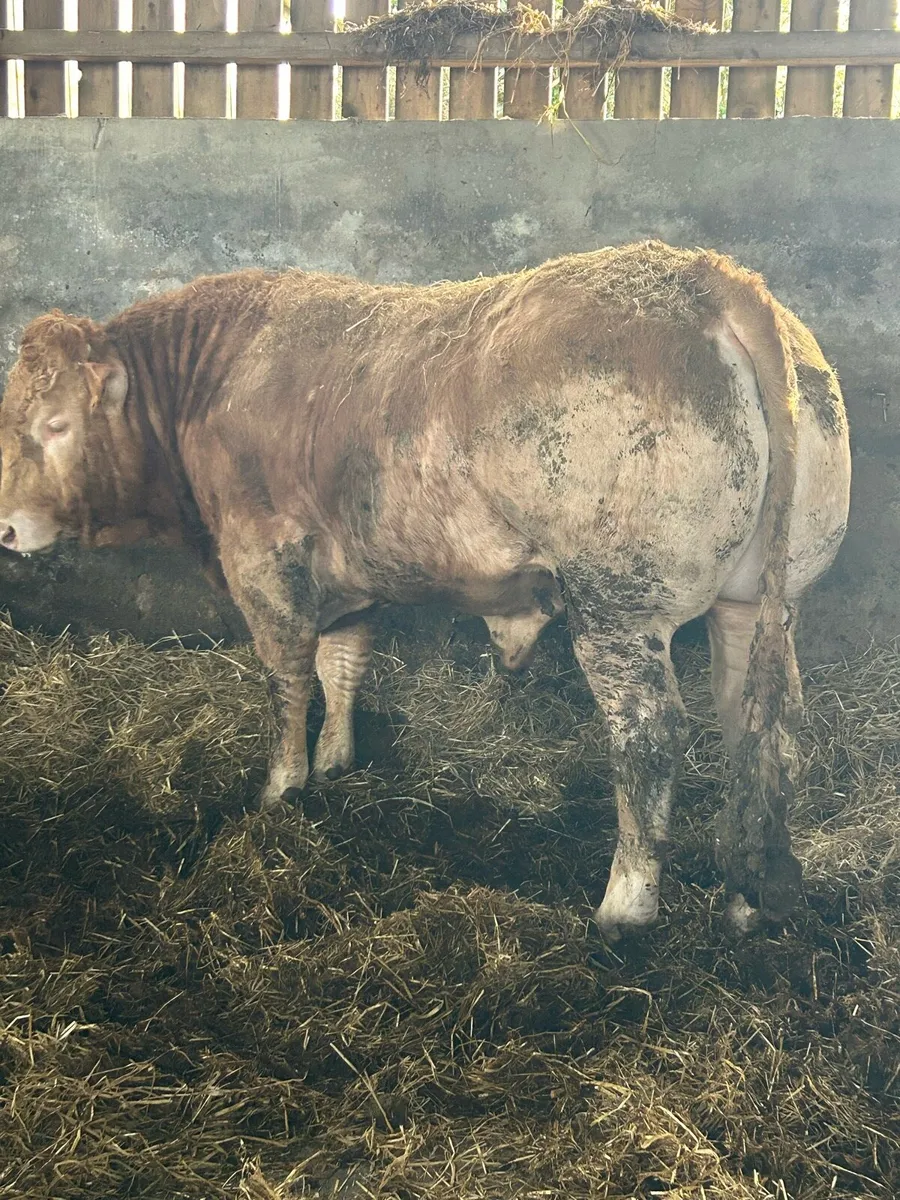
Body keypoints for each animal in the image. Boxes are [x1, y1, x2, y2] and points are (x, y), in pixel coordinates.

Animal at [0, 241, 851, 940]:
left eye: (55, 424)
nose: (6, 528)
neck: (214, 379)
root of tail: (709, 278)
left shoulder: (263, 559)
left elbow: (286, 676)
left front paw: (281, 789)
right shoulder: (352, 571)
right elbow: (341, 663)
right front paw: (336, 763)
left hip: (619, 604)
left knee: (651, 734)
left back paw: (624, 907)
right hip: (761, 602)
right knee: (763, 727)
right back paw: (748, 896)